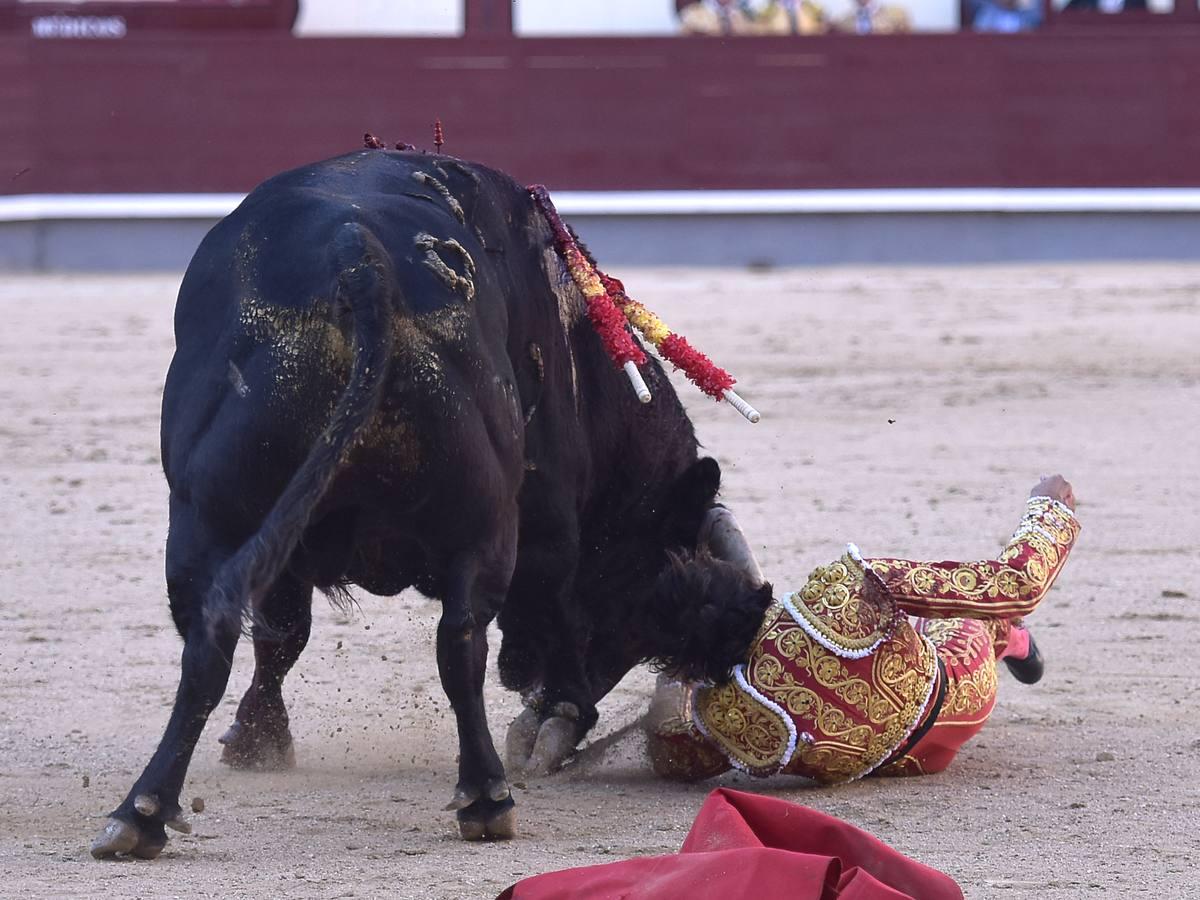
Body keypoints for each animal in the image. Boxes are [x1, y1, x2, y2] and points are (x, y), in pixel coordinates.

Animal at [88, 150, 724, 859]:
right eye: (637, 601)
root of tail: (359, 256)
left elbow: (282, 634)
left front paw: (257, 738)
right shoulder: (548, 522)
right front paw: (557, 716)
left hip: (207, 519)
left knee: (213, 634)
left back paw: (141, 812)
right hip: (478, 520)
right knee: (462, 640)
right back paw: (488, 794)